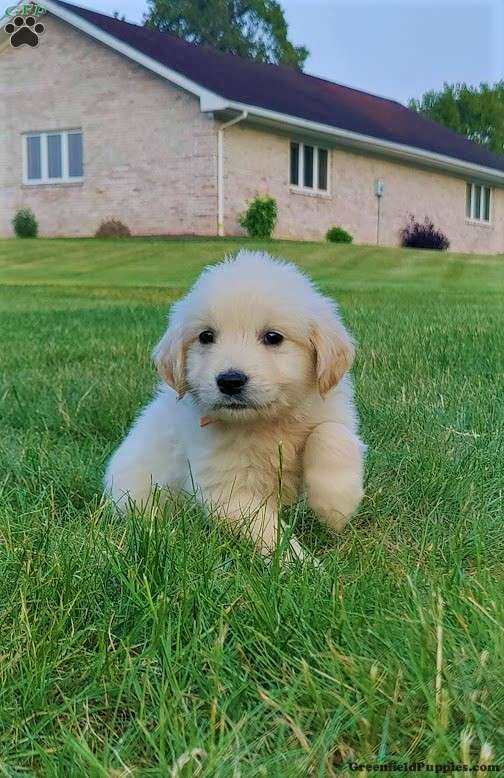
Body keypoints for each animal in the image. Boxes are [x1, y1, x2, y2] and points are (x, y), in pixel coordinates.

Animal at [104, 252, 364, 556]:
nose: (230, 381)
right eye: (206, 336)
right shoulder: (227, 492)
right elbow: (269, 533)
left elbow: (332, 433)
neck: (268, 423)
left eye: (273, 337)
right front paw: (300, 563)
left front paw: (335, 505)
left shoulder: (332, 411)